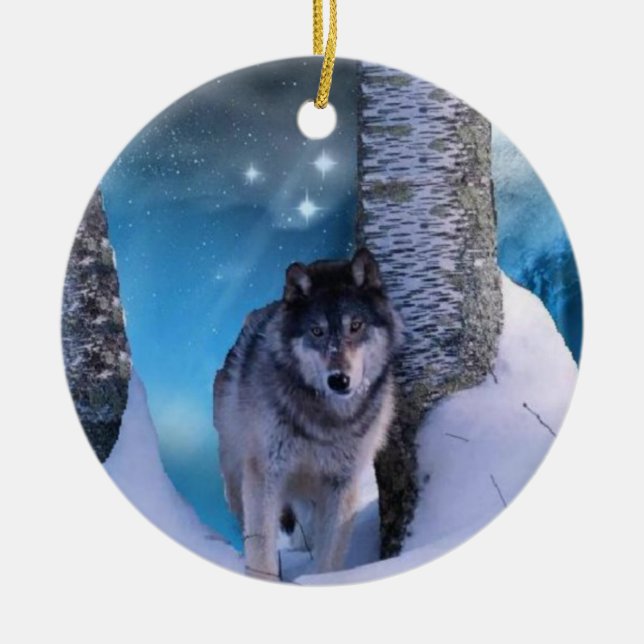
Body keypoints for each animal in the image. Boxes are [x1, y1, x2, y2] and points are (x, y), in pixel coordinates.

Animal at [214, 248, 403, 581]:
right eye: (317, 331)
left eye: (356, 325)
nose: (338, 380)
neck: (325, 421)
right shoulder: (265, 474)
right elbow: (261, 551)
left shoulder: (343, 484)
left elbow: (330, 557)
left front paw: (319, 582)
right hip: (238, 473)